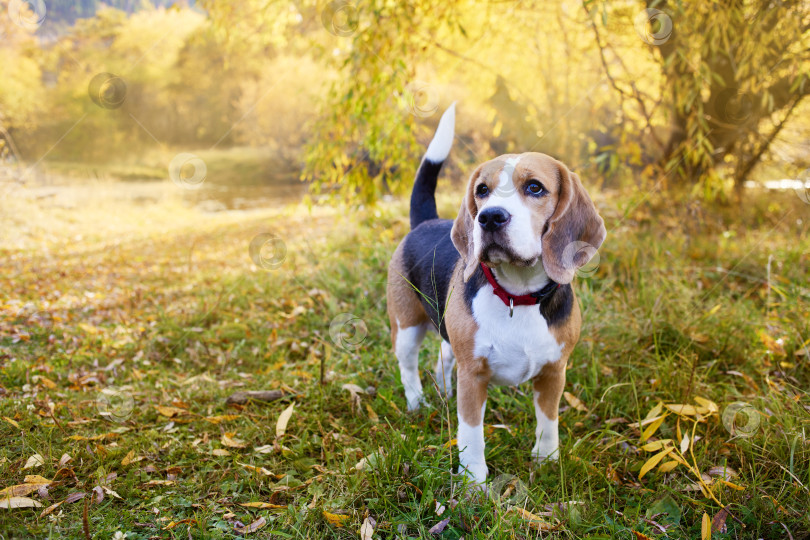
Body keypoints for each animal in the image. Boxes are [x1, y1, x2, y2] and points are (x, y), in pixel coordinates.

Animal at [386, 103, 608, 484]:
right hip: (407, 327)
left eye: (535, 187)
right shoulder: (474, 377)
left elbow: (549, 423)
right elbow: (471, 434)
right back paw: (417, 404)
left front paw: (547, 462)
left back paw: (444, 392)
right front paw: (474, 484)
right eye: (482, 190)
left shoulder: (554, 372)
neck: (517, 296)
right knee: (409, 366)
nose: (489, 218)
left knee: (444, 356)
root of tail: (425, 221)